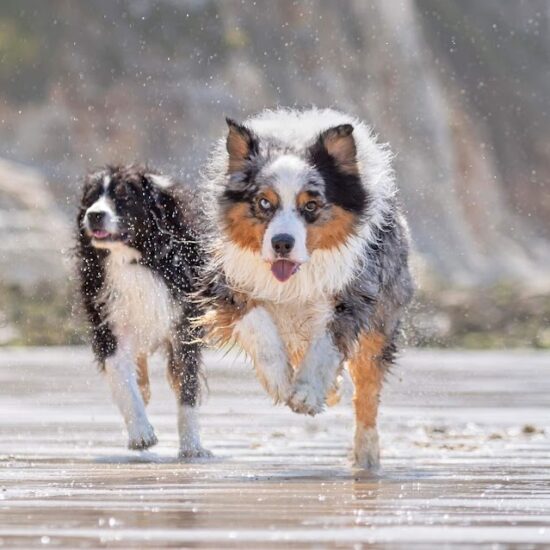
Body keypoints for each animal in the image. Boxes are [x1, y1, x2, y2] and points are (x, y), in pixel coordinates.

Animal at [78, 166, 212, 460]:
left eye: (123, 198)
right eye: (91, 198)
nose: (94, 215)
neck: (135, 260)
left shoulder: (184, 323)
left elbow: (187, 386)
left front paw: (192, 445)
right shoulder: (107, 319)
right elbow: (122, 378)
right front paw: (141, 434)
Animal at [202, 109, 414, 470]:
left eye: (311, 206)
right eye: (264, 202)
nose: (281, 243)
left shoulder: (355, 293)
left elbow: (326, 345)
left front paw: (307, 393)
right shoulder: (228, 282)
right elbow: (258, 323)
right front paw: (279, 378)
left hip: (381, 320)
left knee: (367, 388)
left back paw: (366, 455)